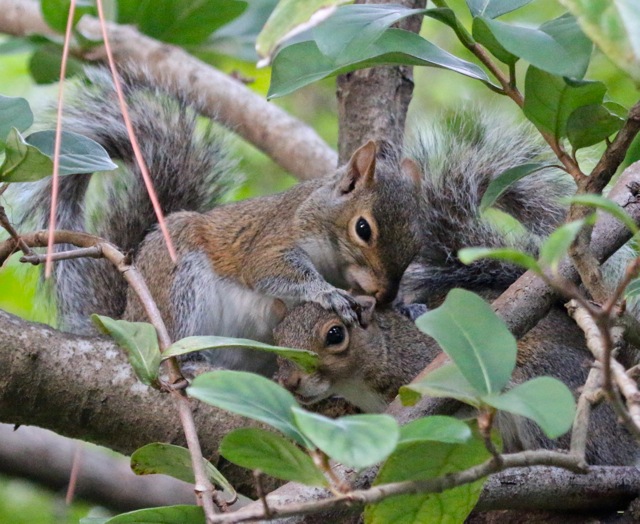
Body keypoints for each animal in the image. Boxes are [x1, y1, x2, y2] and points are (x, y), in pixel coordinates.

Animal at [19, 67, 423, 374]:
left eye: (416, 246)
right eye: (362, 229)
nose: (385, 294)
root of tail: (126, 321)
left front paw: (407, 307)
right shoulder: (277, 235)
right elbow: (270, 269)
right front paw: (327, 292)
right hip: (177, 285)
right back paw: (191, 357)